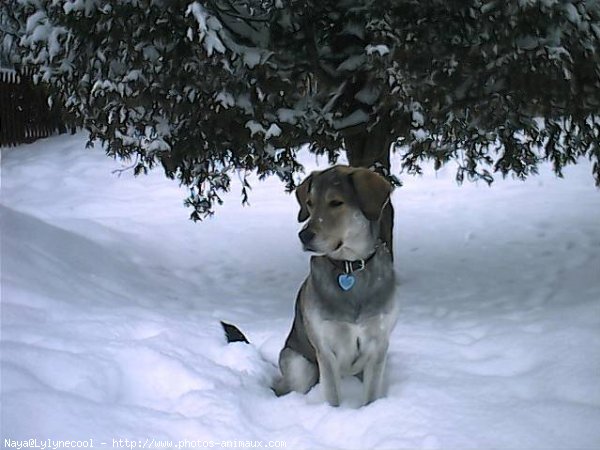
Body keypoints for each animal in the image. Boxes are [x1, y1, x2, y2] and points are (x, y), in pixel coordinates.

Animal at [272, 167, 398, 406]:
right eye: (310, 203)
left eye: (336, 202)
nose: (304, 235)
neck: (349, 267)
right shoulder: (325, 347)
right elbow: (332, 395)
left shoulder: (379, 343)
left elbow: (371, 395)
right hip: (298, 364)